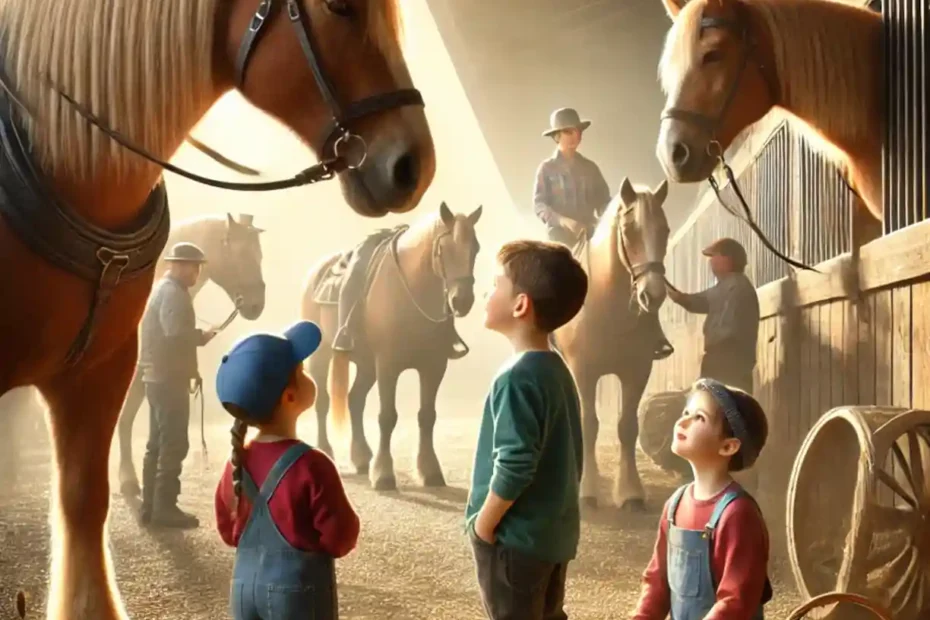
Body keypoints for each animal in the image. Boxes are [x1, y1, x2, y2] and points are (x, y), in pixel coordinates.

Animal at [300, 202, 482, 490]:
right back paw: (326, 451)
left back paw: (362, 457)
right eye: (443, 249)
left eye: (475, 248)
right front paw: (383, 474)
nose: (462, 301)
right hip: (322, 357)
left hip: (366, 366)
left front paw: (430, 471)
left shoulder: (434, 366)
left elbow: (427, 416)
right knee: (324, 402)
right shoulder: (388, 364)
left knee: (355, 400)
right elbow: (387, 417)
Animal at [552, 177, 668, 512]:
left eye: (665, 230)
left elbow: (627, 427)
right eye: (629, 231)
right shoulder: (584, 371)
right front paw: (588, 490)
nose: (653, 295)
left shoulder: (637, 370)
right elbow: (589, 425)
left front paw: (630, 493)